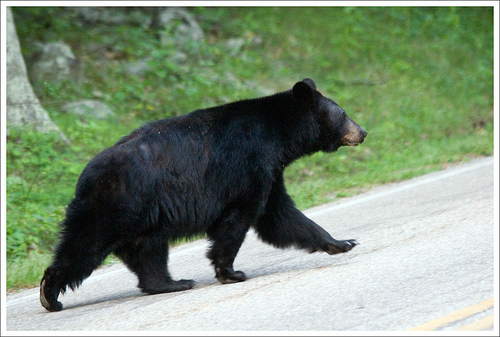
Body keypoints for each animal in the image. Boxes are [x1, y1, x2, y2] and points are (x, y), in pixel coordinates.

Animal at [40, 78, 368, 310]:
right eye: (343, 113)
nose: (363, 132)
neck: (279, 137)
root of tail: (84, 176)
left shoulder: (270, 173)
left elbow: (280, 216)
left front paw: (342, 242)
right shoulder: (248, 164)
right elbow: (240, 218)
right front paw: (230, 272)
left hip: (146, 217)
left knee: (148, 252)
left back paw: (172, 283)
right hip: (115, 203)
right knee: (84, 245)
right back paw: (49, 293)